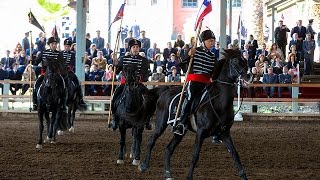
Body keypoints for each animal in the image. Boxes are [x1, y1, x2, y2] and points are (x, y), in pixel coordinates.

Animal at [139, 48, 252, 179]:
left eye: (244, 60)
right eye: (235, 61)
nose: (249, 76)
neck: (219, 103)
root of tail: (165, 91)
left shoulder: (225, 133)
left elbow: (235, 154)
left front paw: (243, 176)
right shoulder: (200, 132)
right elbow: (195, 155)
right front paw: (189, 177)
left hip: (180, 133)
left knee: (168, 149)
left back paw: (167, 173)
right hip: (160, 124)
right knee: (151, 140)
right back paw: (143, 165)